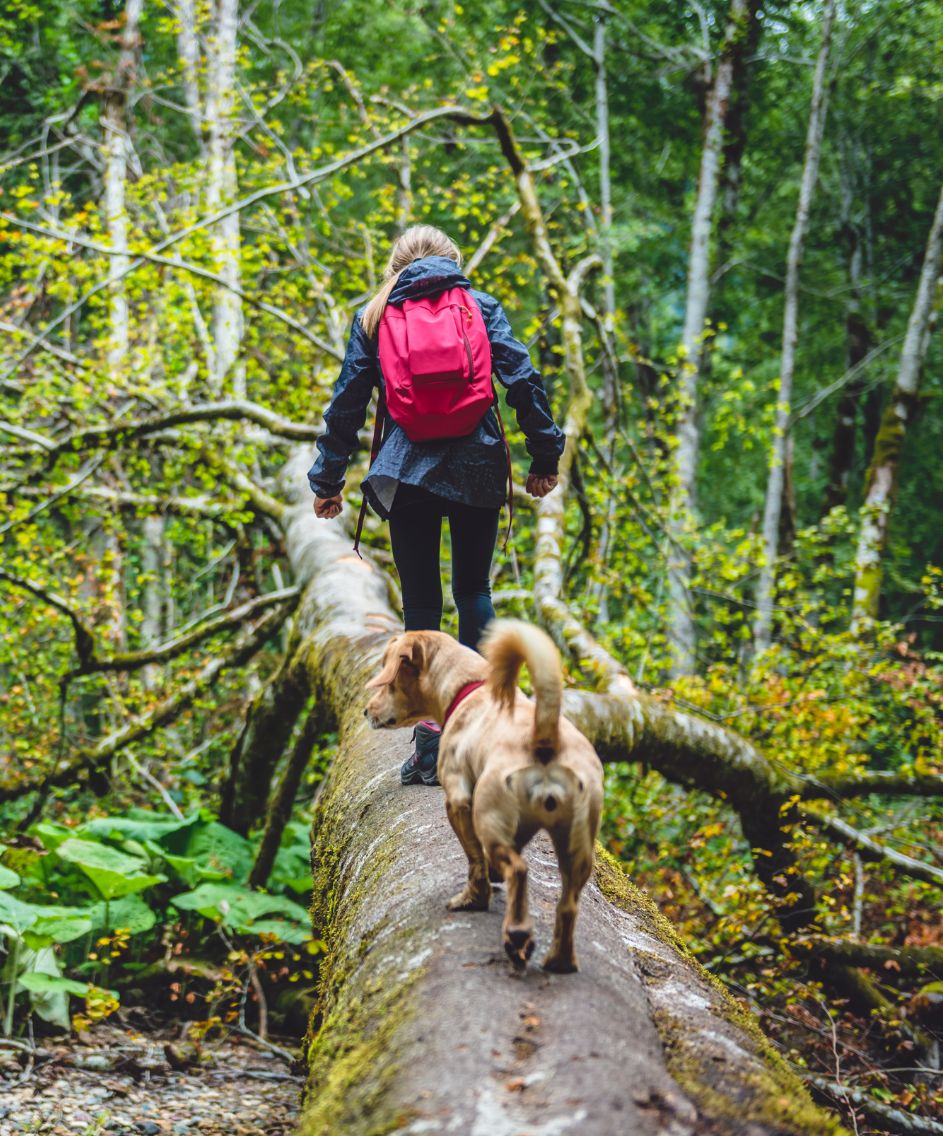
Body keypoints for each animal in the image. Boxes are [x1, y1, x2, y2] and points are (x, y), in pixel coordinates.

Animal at [365, 617, 599, 972]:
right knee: (568, 904)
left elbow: (474, 859)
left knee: (518, 870)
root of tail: (544, 737)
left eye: (388, 680)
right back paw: (559, 960)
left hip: (489, 819)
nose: (366, 711)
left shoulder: (458, 801)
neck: (469, 685)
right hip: (578, 847)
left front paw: (475, 897)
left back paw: (515, 933)